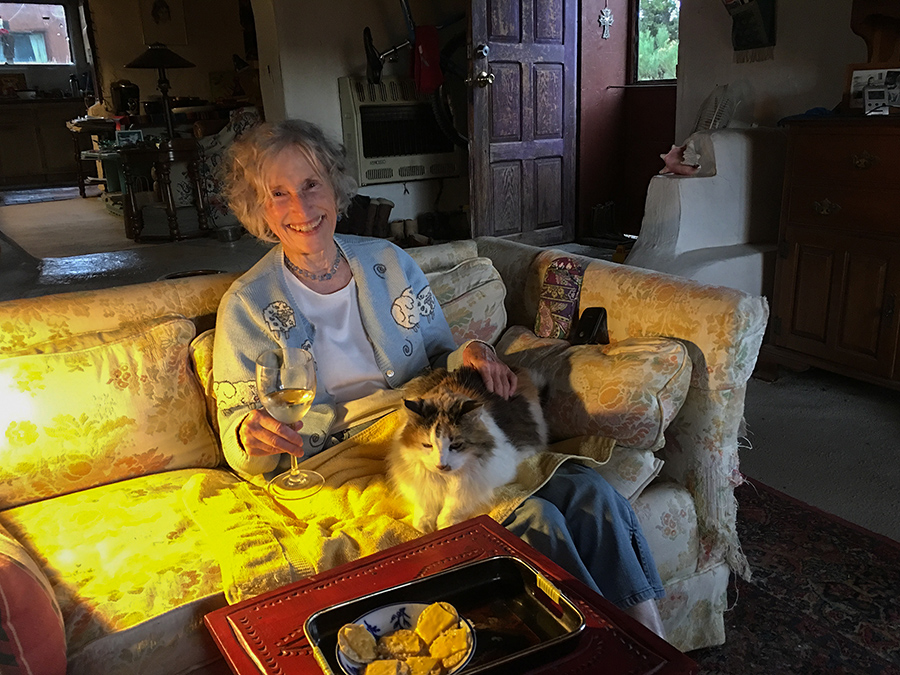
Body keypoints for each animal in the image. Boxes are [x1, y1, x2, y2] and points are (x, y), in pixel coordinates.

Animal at [386, 364, 548, 532]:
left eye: (456, 445)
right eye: (427, 445)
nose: (441, 465)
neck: (445, 479)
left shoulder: (481, 480)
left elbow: (456, 504)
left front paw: (445, 524)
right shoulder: (420, 482)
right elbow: (424, 505)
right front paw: (425, 525)